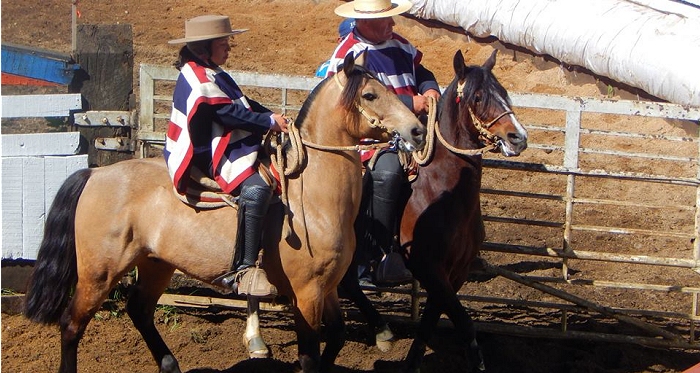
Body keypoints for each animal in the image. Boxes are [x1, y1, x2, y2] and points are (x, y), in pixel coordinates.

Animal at [21, 52, 424, 372]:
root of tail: (95, 174)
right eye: (370, 94)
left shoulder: (328, 289)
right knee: (72, 325)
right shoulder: (306, 293)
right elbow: (310, 354)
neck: (314, 199)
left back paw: (170, 364)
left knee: (139, 311)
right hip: (99, 273)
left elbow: (337, 337)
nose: (417, 130)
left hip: (155, 264)